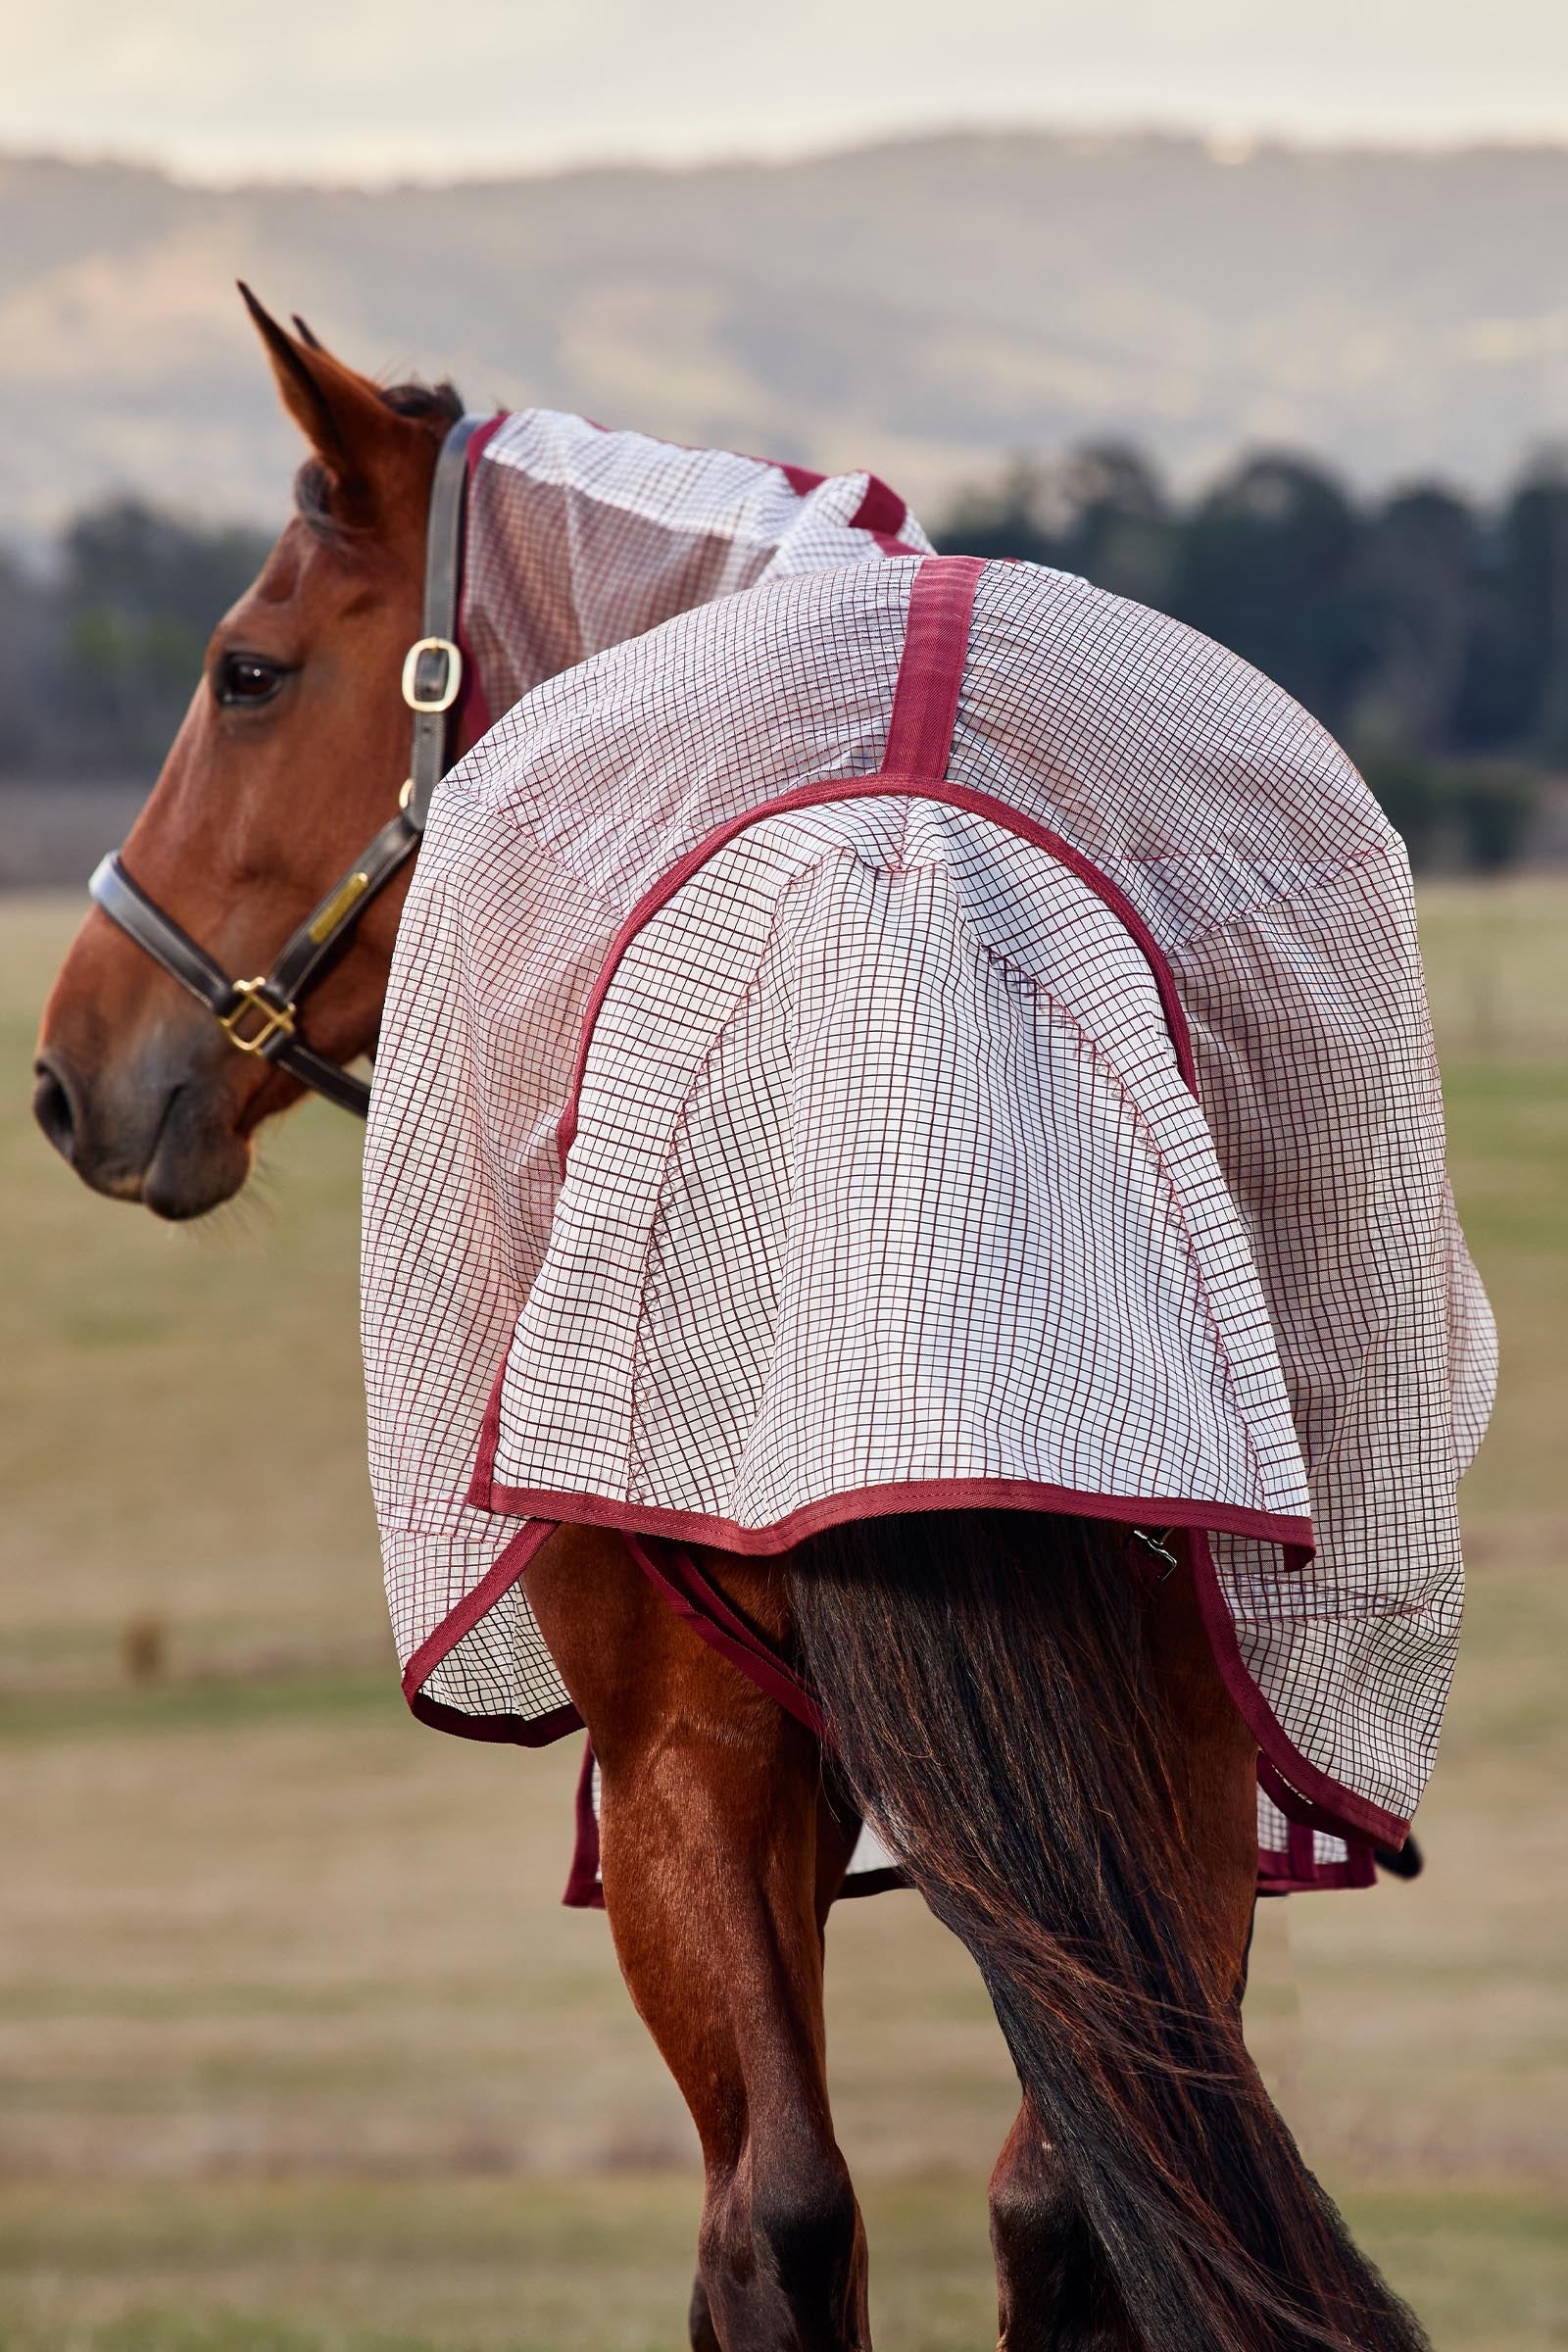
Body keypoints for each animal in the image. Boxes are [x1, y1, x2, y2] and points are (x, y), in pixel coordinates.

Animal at [35, 294, 1434, 2352]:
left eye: (248, 672)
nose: (74, 1069)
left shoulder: (699, 1772)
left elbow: (762, 2221)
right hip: (1162, 1750)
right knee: (1049, 2204)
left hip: (720, 1767)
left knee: (793, 2213)